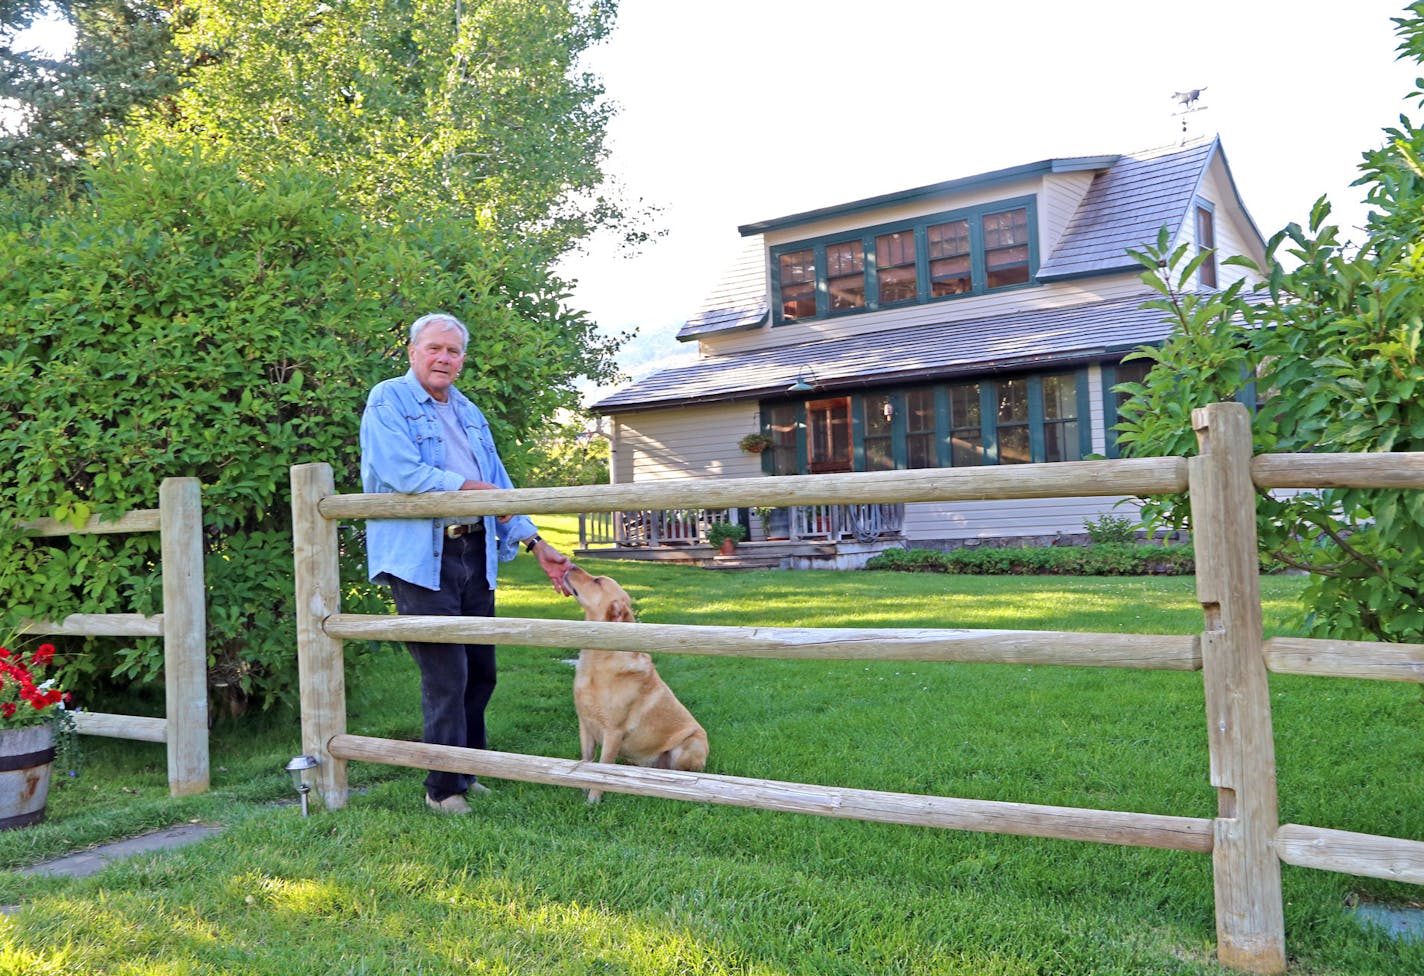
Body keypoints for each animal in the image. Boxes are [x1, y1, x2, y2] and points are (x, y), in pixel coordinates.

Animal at [561, 564, 706, 797]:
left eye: (597, 581)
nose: (570, 565)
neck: (597, 659)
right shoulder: (585, 725)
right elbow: (586, 762)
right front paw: (582, 791)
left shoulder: (613, 732)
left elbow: (600, 770)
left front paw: (593, 799)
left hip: (688, 745)